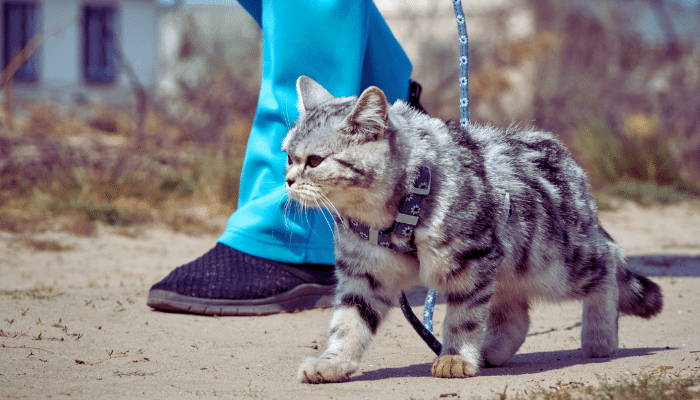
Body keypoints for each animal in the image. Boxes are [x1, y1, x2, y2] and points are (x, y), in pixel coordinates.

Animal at [282, 76, 664, 384]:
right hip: (512, 267)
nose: (287, 180)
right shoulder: (364, 273)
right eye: (287, 156)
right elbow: (348, 322)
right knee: (515, 316)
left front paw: (454, 357)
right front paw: (333, 363)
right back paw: (491, 352)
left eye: (314, 161)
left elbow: (463, 318)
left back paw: (600, 337)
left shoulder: (471, 260)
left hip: (556, 264)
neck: (388, 214)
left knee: (608, 264)